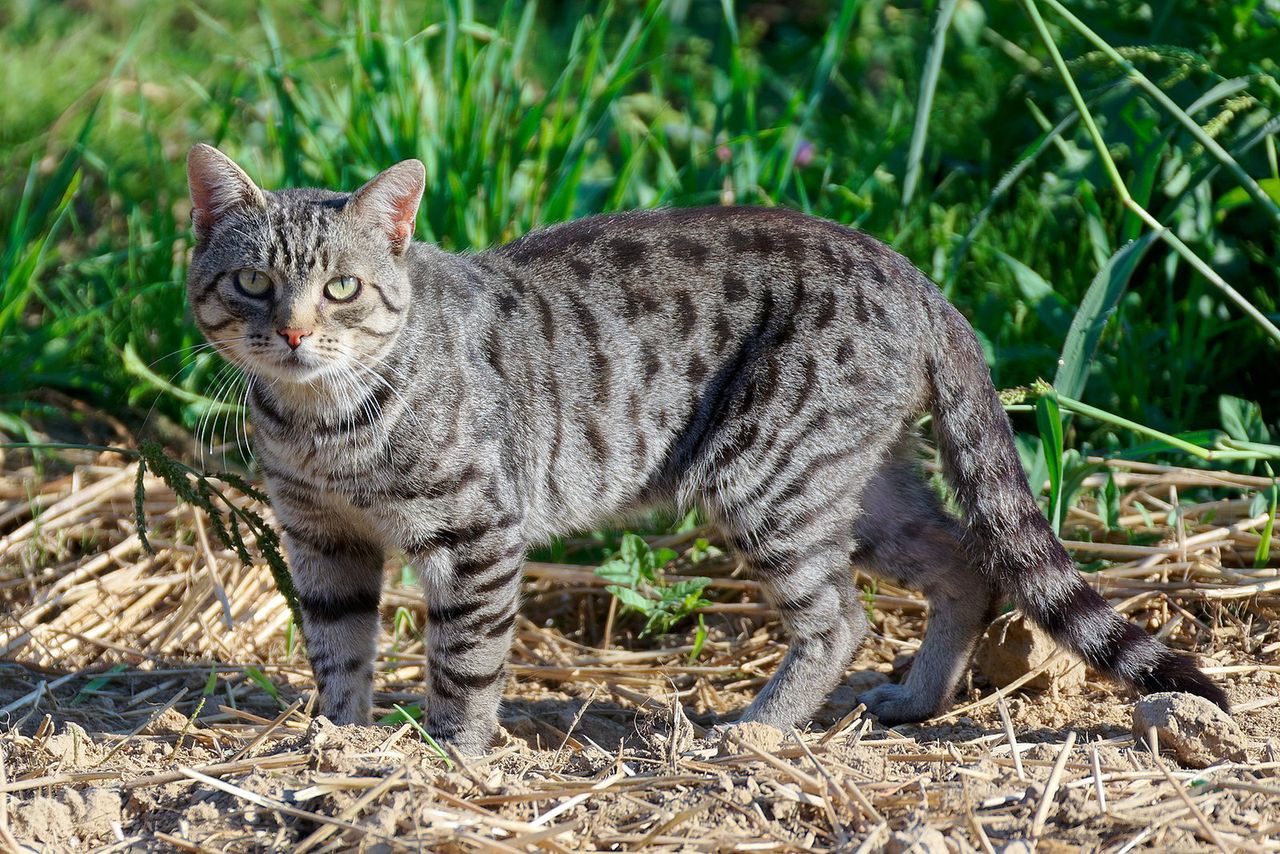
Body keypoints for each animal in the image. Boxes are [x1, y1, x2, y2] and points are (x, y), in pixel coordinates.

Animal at [185, 143, 1223, 752]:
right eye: (250, 283)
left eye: (343, 289)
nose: (291, 331)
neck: (322, 422)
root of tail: (913, 274)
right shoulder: (321, 541)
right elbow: (338, 650)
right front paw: (336, 743)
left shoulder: (477, 534)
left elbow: (464, 662)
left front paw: (455, 756)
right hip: (857, 486)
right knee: (967, 560)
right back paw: (917, 698)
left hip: (770, 479)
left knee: (840, 617)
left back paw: (757, 730)